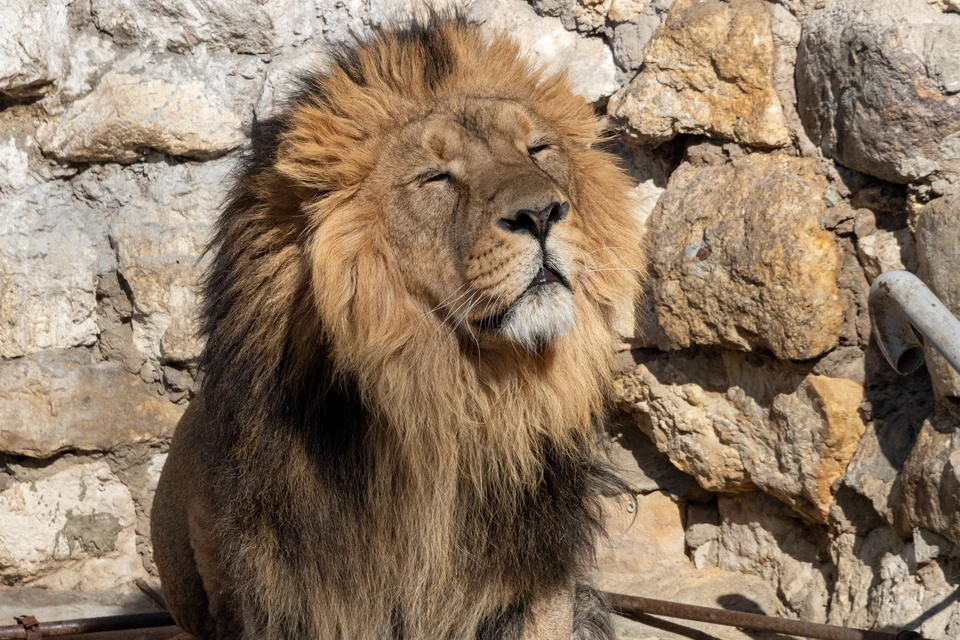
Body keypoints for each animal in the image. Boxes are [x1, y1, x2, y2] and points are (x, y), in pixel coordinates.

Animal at [150, 16, 644, 640]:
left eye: (538, 149)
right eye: (436, 177)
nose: (541, 214)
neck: (444, 403)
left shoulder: (538, 577)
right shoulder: (294, 595)